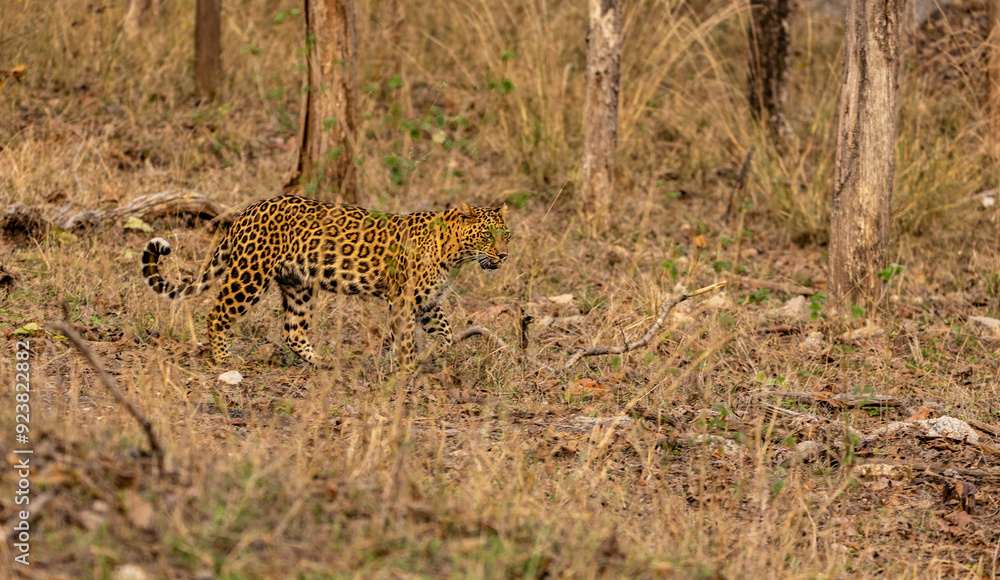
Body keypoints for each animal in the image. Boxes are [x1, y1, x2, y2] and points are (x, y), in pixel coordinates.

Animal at [141, 194, 510, 370]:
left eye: (505, 235)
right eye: (486, 236)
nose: (504, 256)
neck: (455, 253)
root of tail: (247, 211)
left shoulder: (429, 302)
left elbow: (446, 334)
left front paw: (429, 356)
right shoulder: (403, 300)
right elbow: (405, 339)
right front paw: (407, 368)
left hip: (298, 285)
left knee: (292, 331)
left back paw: (324, 363)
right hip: (250, 275)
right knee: (217, 312)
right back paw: (222, 358)